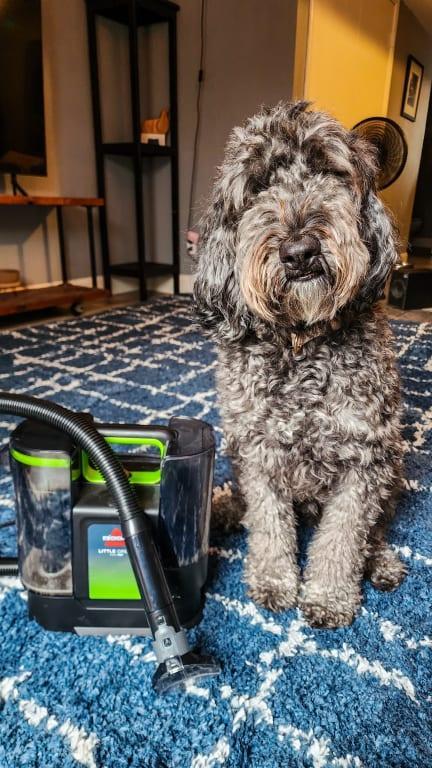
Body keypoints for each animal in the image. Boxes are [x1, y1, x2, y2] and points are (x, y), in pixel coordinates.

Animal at [193, 102, 407, 628]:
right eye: (256, 188)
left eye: (330, 172)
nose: (299, 251)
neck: (300, 342)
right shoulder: (257, 452)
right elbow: (269, 524)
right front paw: (274, 581)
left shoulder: (364, 460)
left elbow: (343, 537)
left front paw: (329, 596)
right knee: (247, 506)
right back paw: (223, 509)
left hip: (394, 466)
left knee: (375, 529)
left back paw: (381, 562)